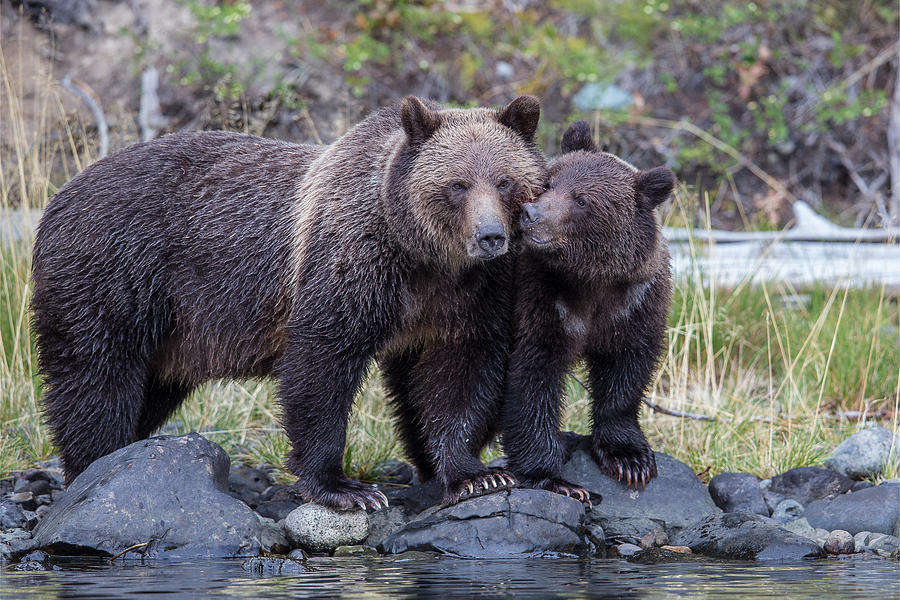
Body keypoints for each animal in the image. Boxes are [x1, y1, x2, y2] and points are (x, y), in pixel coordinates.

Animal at [31, 96, 544, 508]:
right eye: (457, 184)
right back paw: (96, 463)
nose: (490, 236)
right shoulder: (351, 264)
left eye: (504, 181)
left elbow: (460, 373)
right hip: (115, 272)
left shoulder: (468, 297)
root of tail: (60, 194)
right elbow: (322, 362)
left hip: (170, 331)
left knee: (148, 387)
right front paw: (345, 488)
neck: (427, 259)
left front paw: (475, 475)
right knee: (98, 372)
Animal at [500, 120, 676, 496]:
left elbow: (626, 371)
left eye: (581, 199)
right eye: (548, 183)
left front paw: (629, 459)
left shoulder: (635, 302)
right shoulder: (543, 301)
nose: (531, 214)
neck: (591, 279)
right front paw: (553, 477)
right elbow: (532, 378)